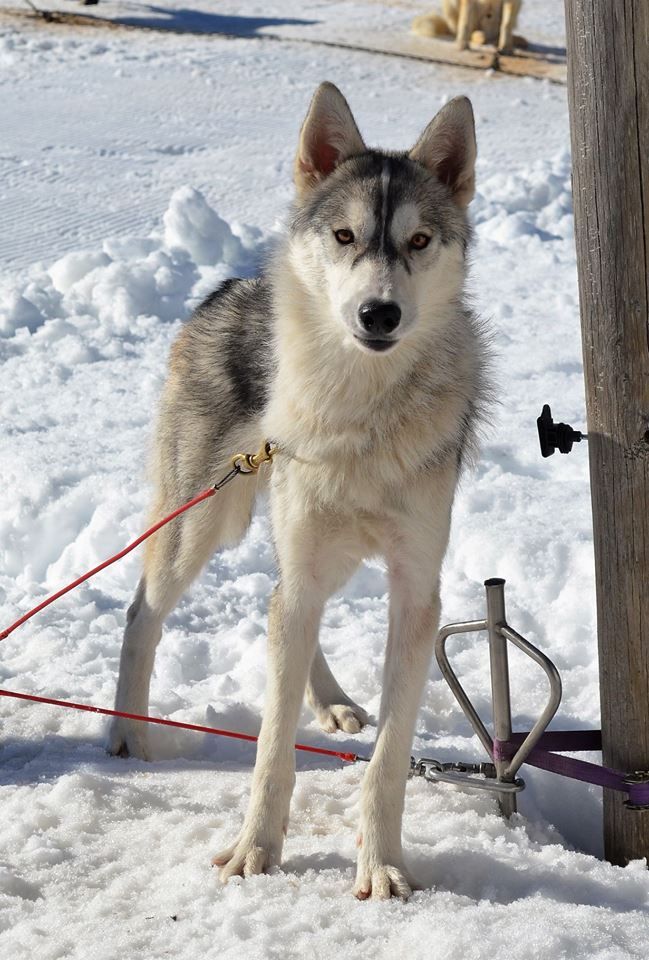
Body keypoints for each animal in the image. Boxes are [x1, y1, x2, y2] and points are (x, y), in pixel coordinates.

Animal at [107, 82, 486, 900]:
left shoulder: (416, 591)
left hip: (315, 551)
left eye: (417, 241)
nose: (379, 312)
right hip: (200, 525)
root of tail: (229, 287)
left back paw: (335, 702)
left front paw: (382, 866)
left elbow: (387, 762)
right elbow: (271, 748)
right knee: (144, 613)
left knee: (282, 606)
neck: (364, 415)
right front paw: (256, 849)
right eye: (345, 236)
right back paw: (126, 732)